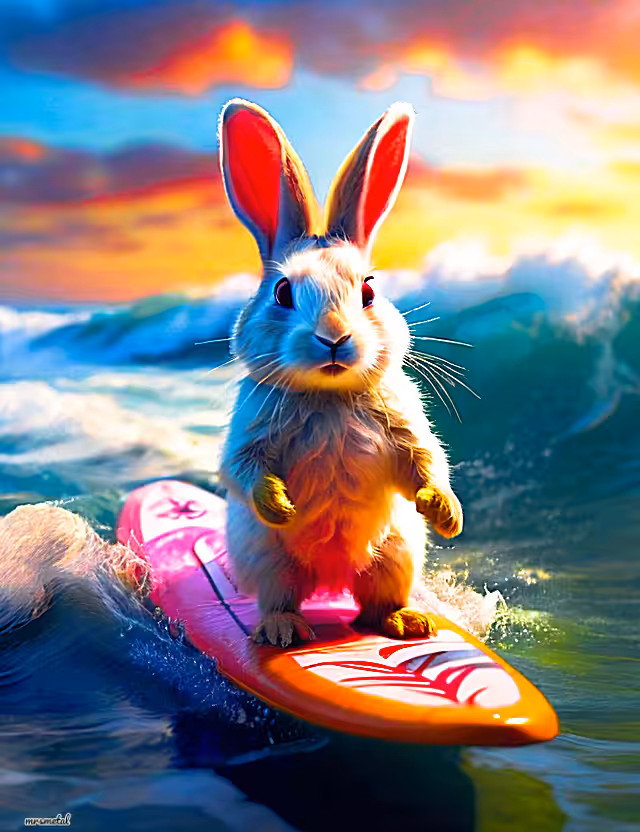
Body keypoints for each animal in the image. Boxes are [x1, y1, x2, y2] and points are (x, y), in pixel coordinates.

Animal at [218, 98, 463, 648]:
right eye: (283, 292)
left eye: (368, 290)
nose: (334, 337)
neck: (328, 396)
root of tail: (330, 582)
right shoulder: (250, 429)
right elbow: (242, 470)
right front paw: (280, 504)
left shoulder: (406, 426)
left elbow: (426, 463)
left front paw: (444, 512)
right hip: (273, 563)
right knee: (281, 597)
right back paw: (284, 630)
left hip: (395, 554)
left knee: (375, 604)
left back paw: (406, 622)